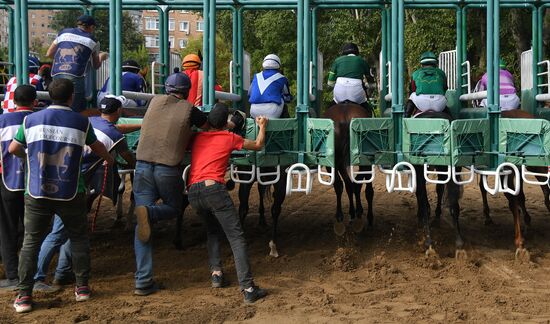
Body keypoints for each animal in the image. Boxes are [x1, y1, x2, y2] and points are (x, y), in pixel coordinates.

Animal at [324, 103, 376, 235]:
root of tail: (345, 118)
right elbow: (356, 185)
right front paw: (358, 213)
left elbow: (348, 185)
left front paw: (354, 213)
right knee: (357, 185)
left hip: (333, 160)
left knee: (340, 185)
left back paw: (340, 217)